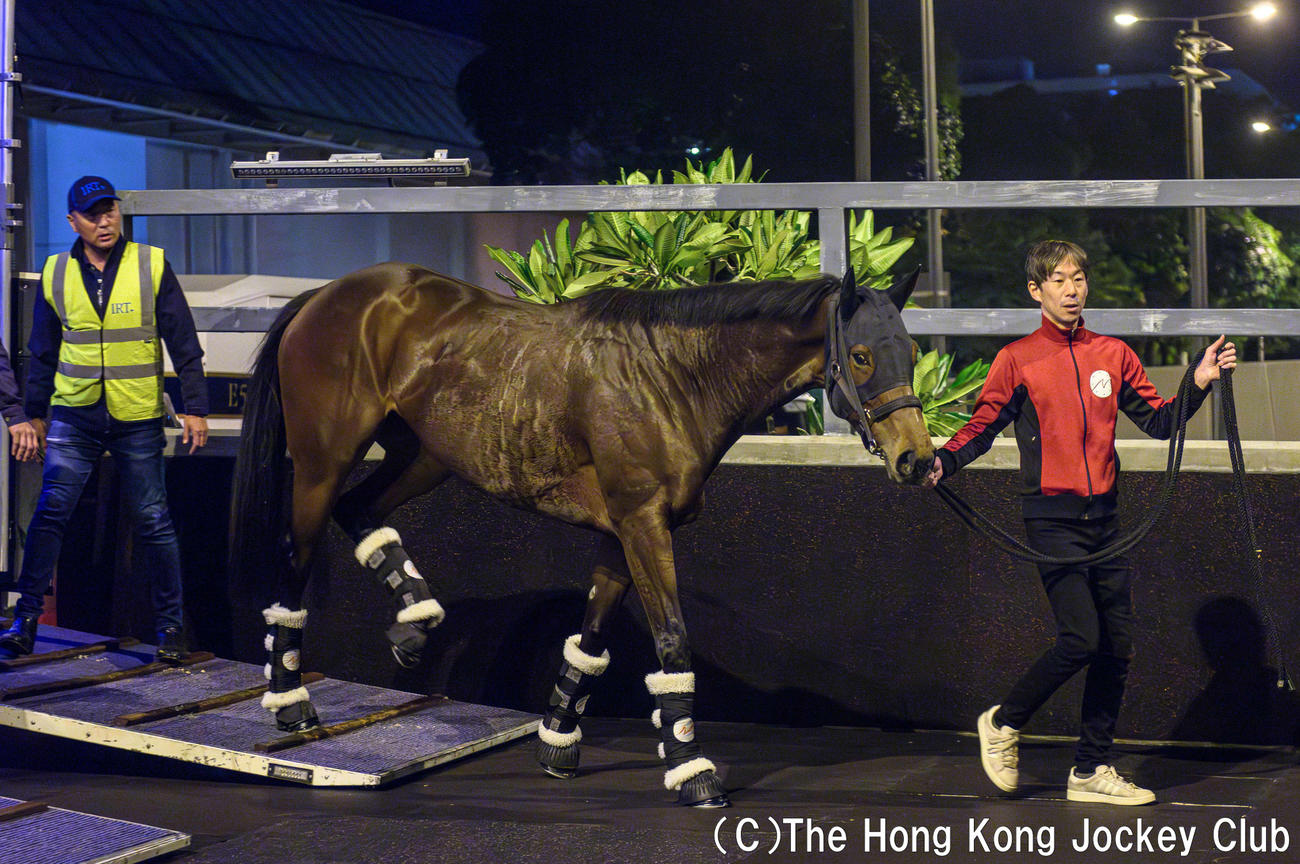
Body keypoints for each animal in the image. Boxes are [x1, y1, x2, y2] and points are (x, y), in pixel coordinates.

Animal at [230, 262, 933, 807]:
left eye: (911, 353)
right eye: (862, 356)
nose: (918, 461)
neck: (670, 378)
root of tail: (324, 296)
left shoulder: (625, 530)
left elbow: (592, 632)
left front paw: (557, 739)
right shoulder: (642, 522)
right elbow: (671, 639)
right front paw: (691, 767)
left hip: (422, 456)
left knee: (361, 511)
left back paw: (415, 620)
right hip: (321, 464)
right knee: (296, 557)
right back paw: (289, 699)